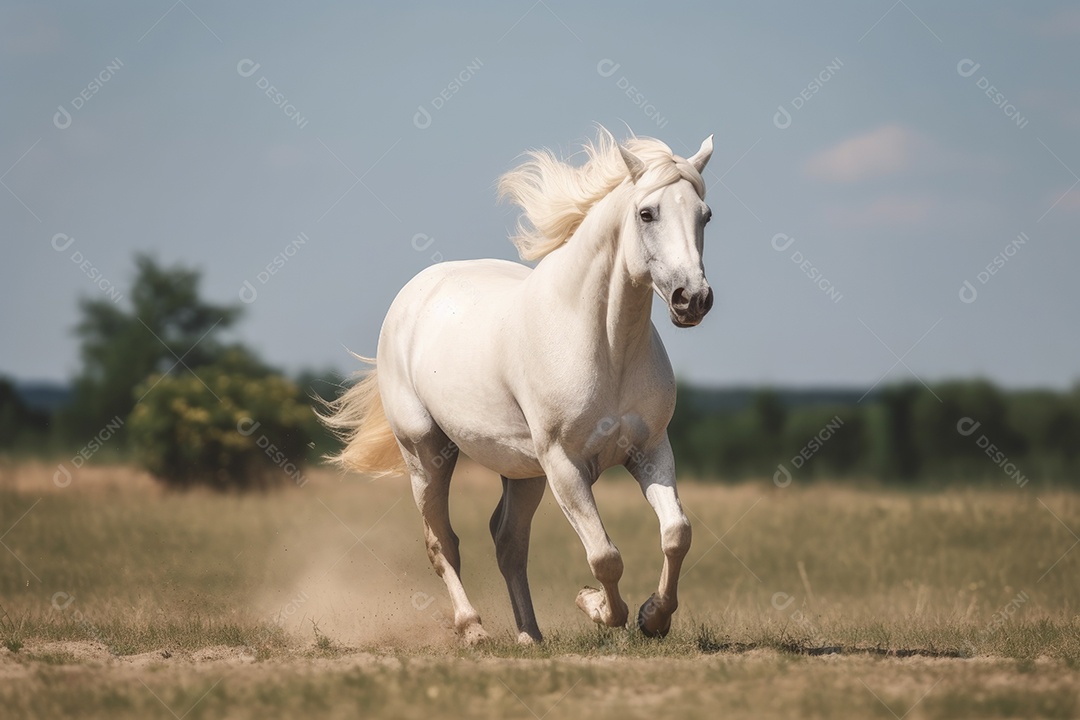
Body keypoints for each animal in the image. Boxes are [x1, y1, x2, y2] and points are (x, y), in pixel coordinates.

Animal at [321, 129, 715, 644]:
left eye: (705, 215)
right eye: (647, 213)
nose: (693, 300)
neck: (604, 344)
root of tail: (412, 295)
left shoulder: (650, 450)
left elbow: (677, 534)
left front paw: (654, 617)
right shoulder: (565, 464)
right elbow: (604, 556)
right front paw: (593, 606)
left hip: (523, 473)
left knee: (507, 541)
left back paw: (531, 634)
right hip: (427, 453)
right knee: (442, 542)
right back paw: (473, 629)